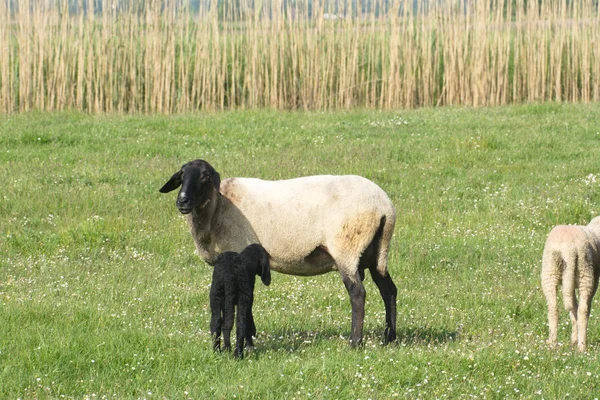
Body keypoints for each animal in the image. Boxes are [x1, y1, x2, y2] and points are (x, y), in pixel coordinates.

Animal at [159, 158, 398, 346]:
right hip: (377, 252)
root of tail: (385, 207)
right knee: (389, 290)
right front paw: (252, 334)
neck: (218, 208)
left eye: (205, 177)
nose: (183, 200)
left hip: (347, 249)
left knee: (357, 293)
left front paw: (248, 338)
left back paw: (355, 342)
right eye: (181, 175)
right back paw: (390, 338)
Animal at [540, 217, 600, 352]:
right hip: (585, 273)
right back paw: (582, 346)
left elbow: (573, 307)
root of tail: (568, 249)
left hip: (550, 271)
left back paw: (553, 343)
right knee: (583, 310)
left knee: (554, 308)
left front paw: (574, 339)